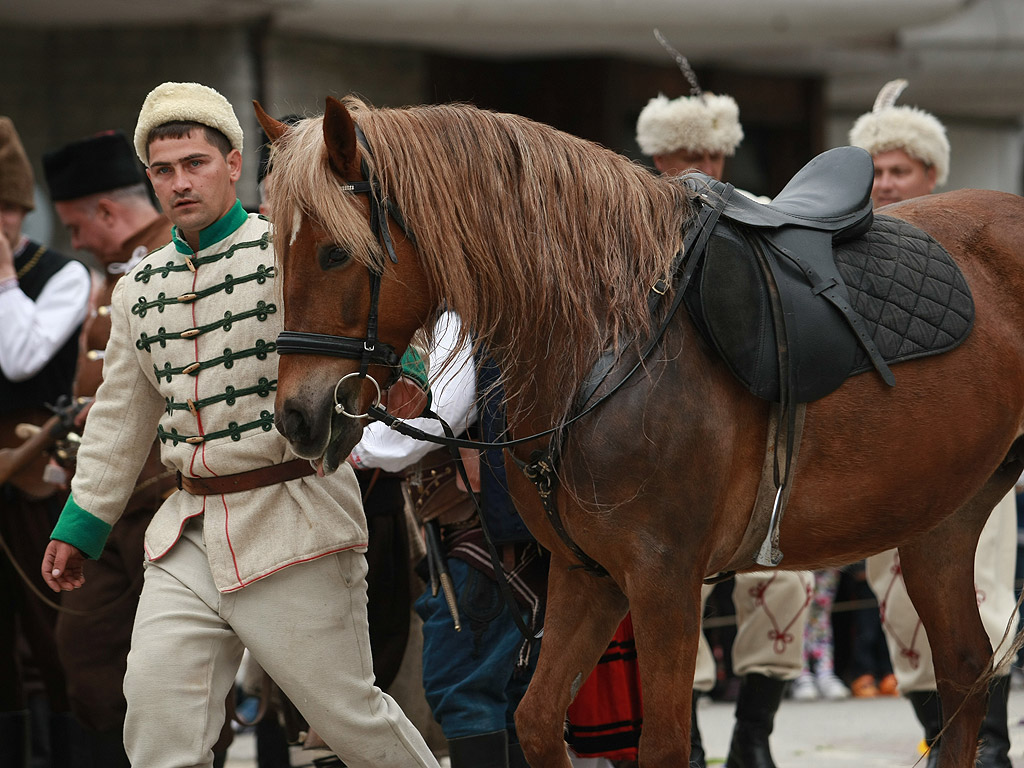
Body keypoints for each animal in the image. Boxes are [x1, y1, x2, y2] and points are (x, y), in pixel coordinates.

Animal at [253, 97, 1024, 768]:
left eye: (334, 253)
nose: (297, 416)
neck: (604, 338)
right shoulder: (588, 576)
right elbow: (536, 720)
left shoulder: (664, 580)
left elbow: (660, 745)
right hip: (941, 523)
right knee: (964, 670)